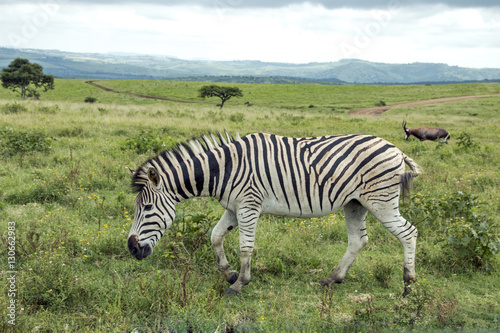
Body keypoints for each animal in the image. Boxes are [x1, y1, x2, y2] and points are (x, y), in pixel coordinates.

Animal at [126, 131, 422, 294]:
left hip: (381, 201)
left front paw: (239, 283)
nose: (131, 248)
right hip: (355, 203)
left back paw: (408, 285)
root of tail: (397, 150)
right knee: (358, 241)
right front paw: (228, 273)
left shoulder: (249, 204)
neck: (223, 169)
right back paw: (332, 279)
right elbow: (215, 237)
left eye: (148, 208)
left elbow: (245, 247)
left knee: (409, 232)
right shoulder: (234, 207)